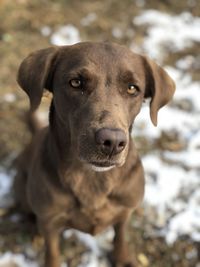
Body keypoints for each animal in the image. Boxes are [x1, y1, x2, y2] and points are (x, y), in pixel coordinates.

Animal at [14, 41, 175, 266]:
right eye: (76, 83)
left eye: (132, 88)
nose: (112, 142)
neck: (91, 177)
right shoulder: (50, 221)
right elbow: (52, 252)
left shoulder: (124, 211)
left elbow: (121, 236)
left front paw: (122, 258)